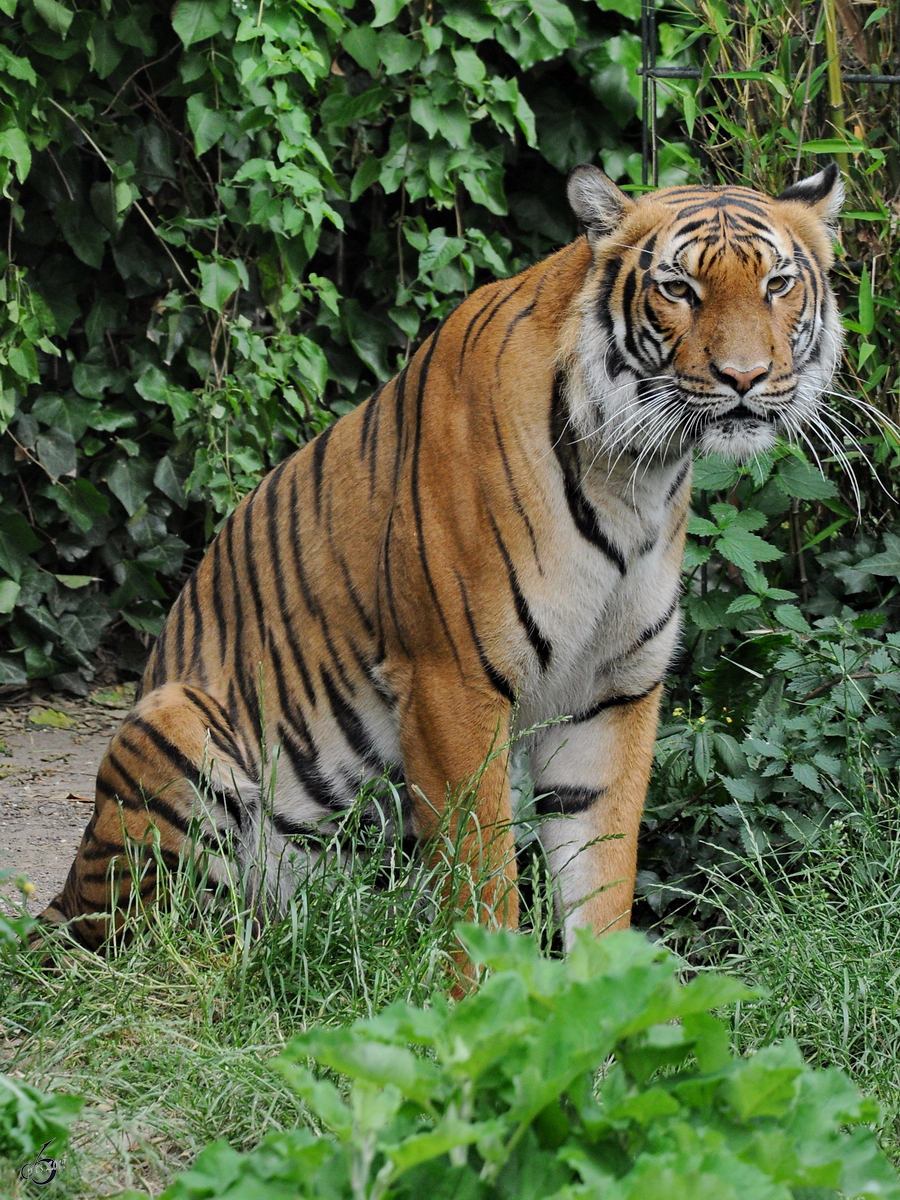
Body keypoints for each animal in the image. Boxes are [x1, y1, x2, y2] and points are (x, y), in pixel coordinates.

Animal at [37, 162, 844, 964]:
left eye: (777, 284)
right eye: (679, 288)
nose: (744, 377)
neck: (637, 477)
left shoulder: (615, 690)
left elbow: (604, 872)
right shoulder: (451, 681)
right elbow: (483, 875)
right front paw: (491, 988)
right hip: (174, 724)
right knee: (146, 939)